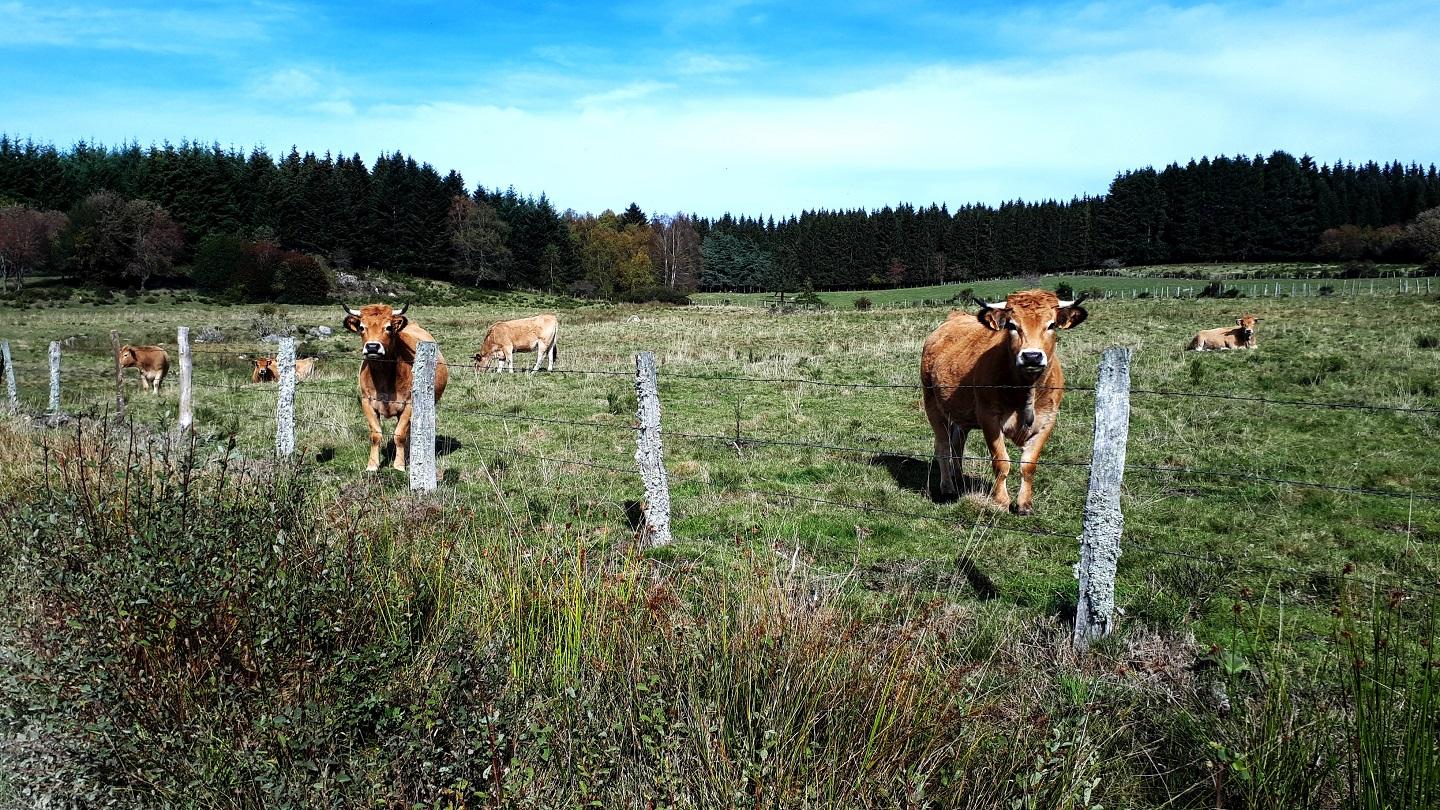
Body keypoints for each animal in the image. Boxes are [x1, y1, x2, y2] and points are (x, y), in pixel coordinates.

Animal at [342, 303, 449, 472]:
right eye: (361, 327)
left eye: (388, 327)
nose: (372, 347)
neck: (384, 375)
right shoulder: (367, 402)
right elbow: (376, 435)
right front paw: (372, 465)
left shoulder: (409, 405)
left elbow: (400, 435)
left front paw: (399, 465)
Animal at [920, 289, 1089, 516]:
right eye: (1011, 325)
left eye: (1051, 325)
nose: (1032, 356)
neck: (1026, 391)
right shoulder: (989, 418)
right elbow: (1001, 461)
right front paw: (1000, 501)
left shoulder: (1047, 421)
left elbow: (1029, 464)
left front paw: (1025, 504)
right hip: (933, 404)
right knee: (943, 445)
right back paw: (947, 486)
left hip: (961, 415)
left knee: (957, 444)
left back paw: (959, 477)